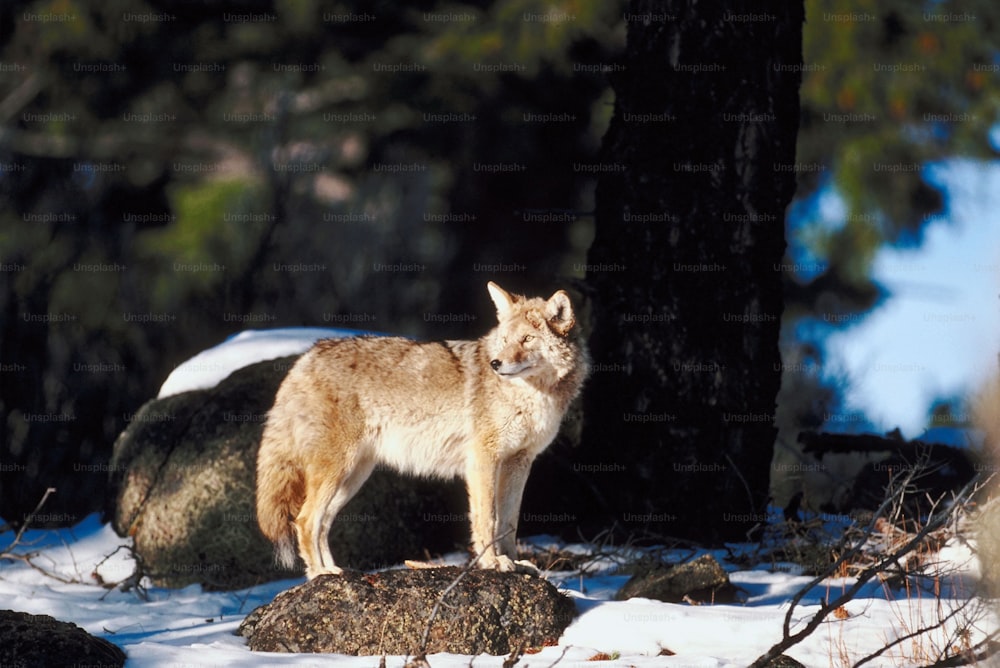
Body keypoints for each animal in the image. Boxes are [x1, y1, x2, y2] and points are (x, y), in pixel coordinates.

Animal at [254, 280, 588, 576]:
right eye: (505, 340)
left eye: (527, 339)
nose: (496, 364)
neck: (531, 395)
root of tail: (306, 357)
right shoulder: (483, 459)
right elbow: (487, 518)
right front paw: (493, 563)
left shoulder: (519, 462)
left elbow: (508, 522)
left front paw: (515, 563)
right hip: (337, 471)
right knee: (305, 521)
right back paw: (320, 574)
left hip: (352, 478)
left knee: (320, 524)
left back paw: (333, 571)